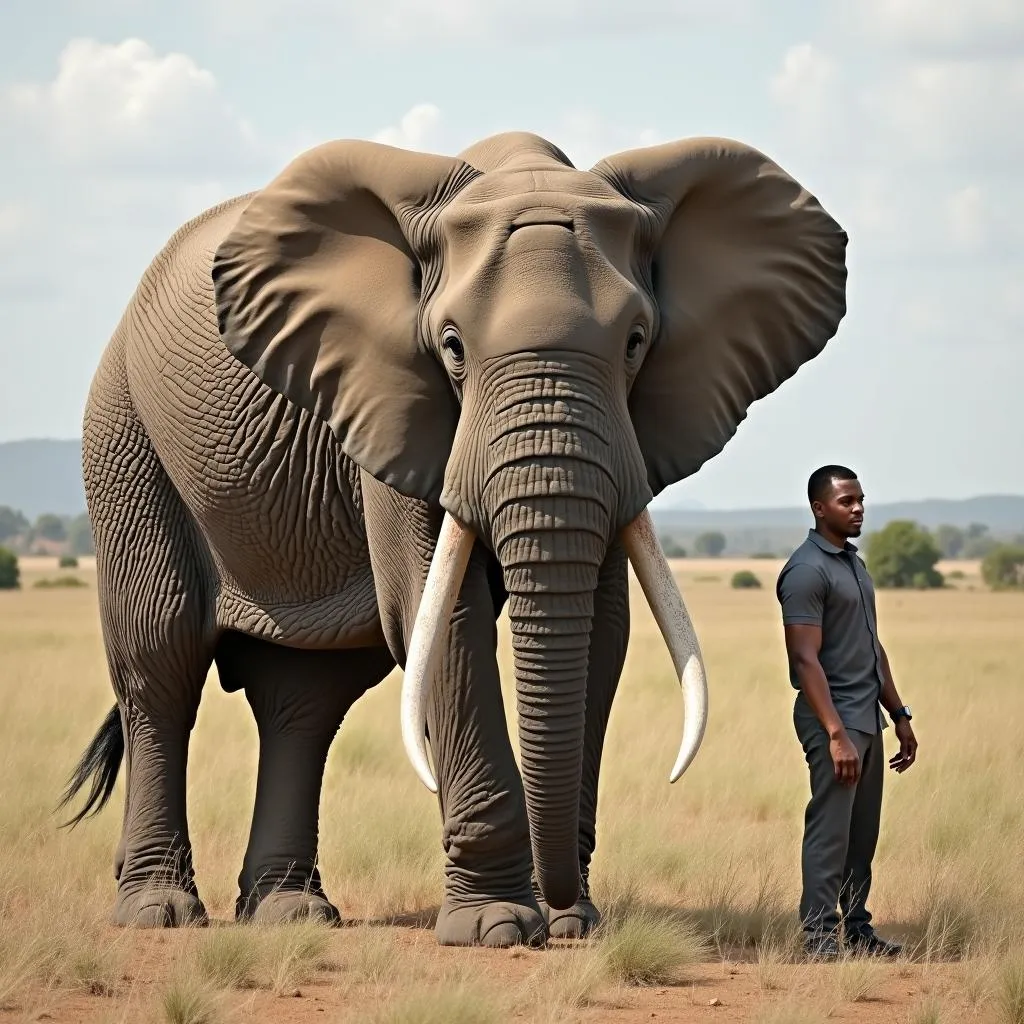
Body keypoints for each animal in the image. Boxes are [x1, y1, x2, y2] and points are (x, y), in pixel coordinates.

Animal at [58, 132, 847, 946]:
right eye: (452, 345)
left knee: (303, 700)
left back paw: (291, 914)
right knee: (161, 665)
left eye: (635, 342)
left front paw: (568, 924)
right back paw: (160, 913)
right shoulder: (393, 402)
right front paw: (498, 927)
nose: (564, 913)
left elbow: (604, 628)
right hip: (124, 434)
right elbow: (444, 621)